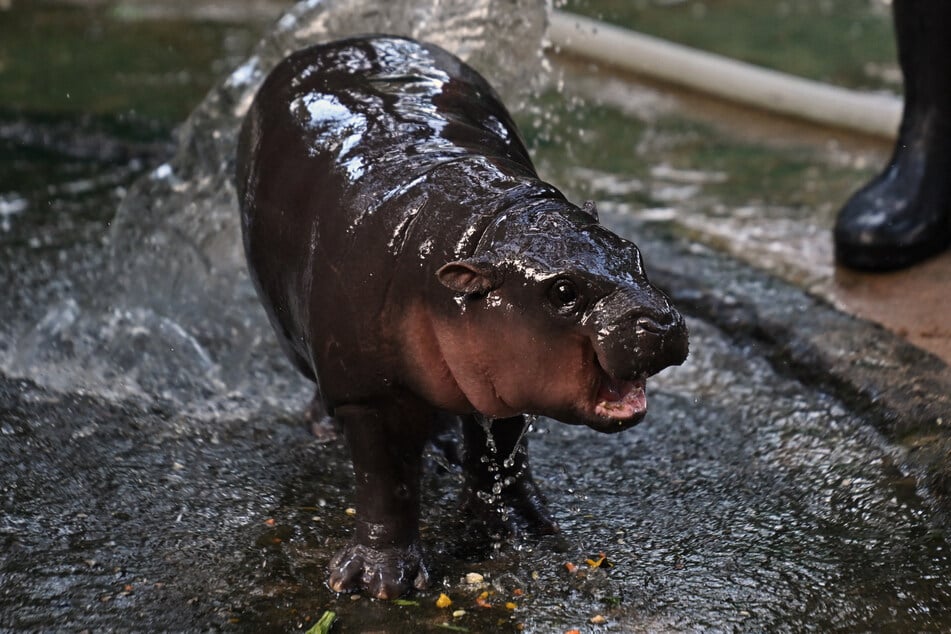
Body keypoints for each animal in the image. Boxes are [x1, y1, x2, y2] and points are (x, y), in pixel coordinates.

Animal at [235, 34, 688, 596]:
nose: (662, 322)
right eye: (563, 291)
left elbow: (504, 452)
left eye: (633, 252)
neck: (480, 227)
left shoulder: (508, 374)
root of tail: (340, 42)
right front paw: (379, 582)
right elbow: (386, 481)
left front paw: (523, 526)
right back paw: (328, 430)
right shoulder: (369, 393)